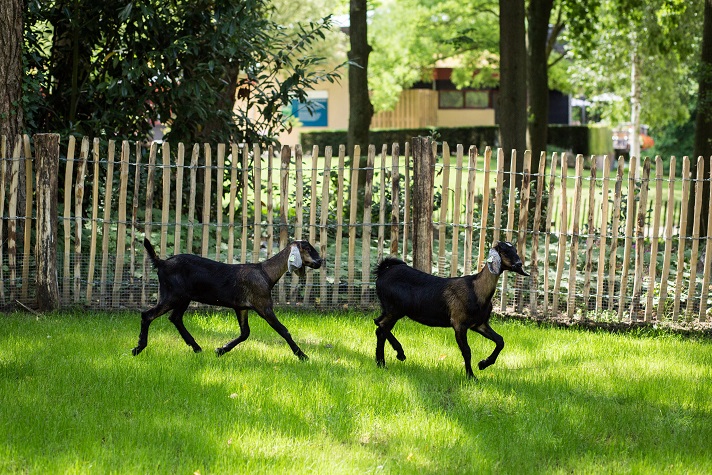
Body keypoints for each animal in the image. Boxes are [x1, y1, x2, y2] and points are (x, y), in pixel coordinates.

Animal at [132, 240, 324, 358]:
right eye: (307, 248)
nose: (321, 261)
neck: (265, 273)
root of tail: (162, 263)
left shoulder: (241, 307)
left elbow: (245, 333)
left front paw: (220, 350)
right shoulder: (263, 305)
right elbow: (283, 330)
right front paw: (302, 355)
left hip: (183, 297)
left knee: (175, 318)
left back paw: (196, 347)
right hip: (172, 295)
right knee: (147, 315)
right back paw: (138, 348)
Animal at [372, 242, 528, 380]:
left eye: (515, 249)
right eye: (504, 251)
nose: (519, 264)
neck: (476, 289)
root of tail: (383, 271)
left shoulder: (479, 324)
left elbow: (500, 341)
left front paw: (483, 364)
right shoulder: (459, 323)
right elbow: (467, 351)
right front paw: (471, 377)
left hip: (390, 309)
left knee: (380, 329)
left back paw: (381, 364)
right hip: (395, 308)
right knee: (380, 324)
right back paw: (400, 354)